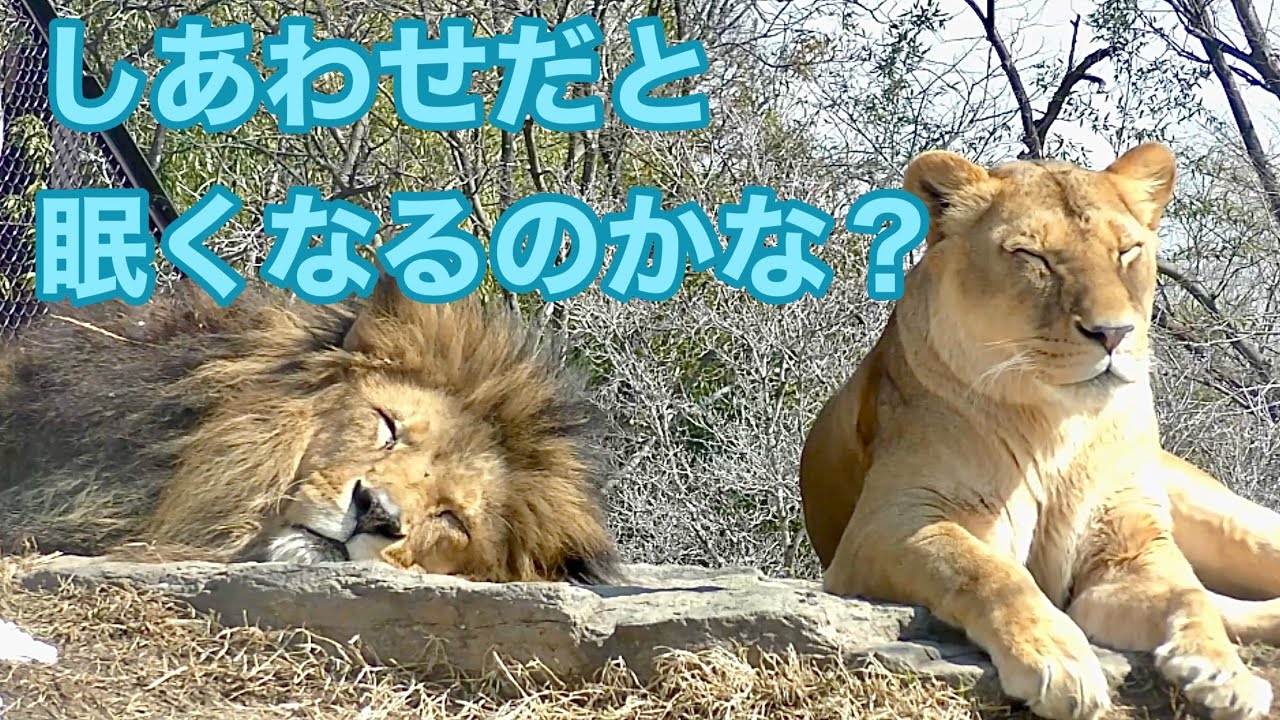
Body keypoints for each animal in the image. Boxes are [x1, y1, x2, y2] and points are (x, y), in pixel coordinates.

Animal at [799, 143, 1280, 720]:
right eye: (1033, 256)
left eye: (1127, 252)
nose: (1113, 333)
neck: (1057, 427)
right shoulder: (889, 523)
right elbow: (989, 572)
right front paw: (1058, 660)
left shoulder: (1130, 541)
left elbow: (1185, 594)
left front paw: (1224, 673)